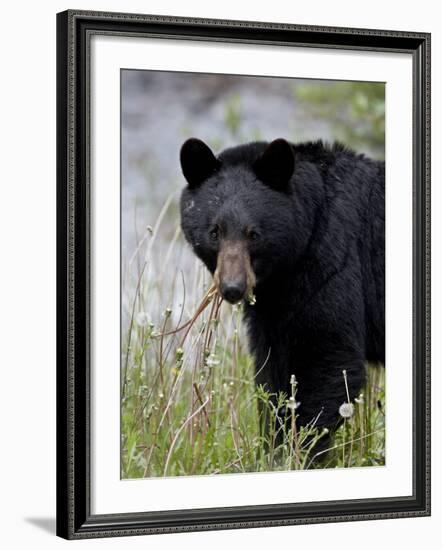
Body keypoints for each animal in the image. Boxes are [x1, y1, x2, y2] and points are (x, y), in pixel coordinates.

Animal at [179, 139, 384, 444]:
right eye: (215, 231)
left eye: (254, 234)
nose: (232, 288)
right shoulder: (274, 305)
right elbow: (273, 372)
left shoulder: (333, 265)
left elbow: (329, 360)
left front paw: (300, 447)